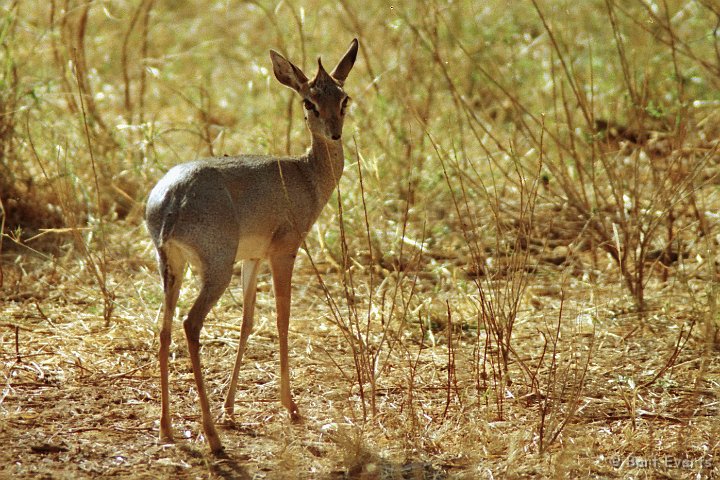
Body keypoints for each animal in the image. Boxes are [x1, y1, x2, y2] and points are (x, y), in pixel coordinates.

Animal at [146, 39, 360, 452]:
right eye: (309, 101)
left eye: (343, 98)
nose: (335, 133)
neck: (304, 175)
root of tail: (170, 200)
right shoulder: (284, 252)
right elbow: (281, 320)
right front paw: (291, 407)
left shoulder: (253, 259)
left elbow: (246, 322)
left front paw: (230, 408)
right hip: (215, 269)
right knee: (189, 324)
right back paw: (211, 437)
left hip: (172, 267)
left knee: (164, 328)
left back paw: (166, 428)